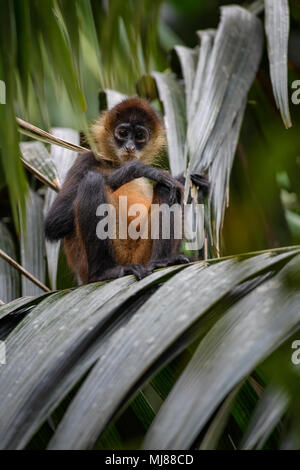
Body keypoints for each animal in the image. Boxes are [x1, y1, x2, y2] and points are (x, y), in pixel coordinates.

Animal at [44, 98, 209, 282]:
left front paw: (191, 180)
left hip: (142, 254)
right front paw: (136, 169)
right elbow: (54, 223)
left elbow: (176, 187)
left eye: (139, 136)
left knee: (166, 188)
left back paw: (163, 261)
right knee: (92, 181)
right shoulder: (86, 159)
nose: (130, 147)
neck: (115, 163)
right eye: (123, 133)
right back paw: (104, 273)